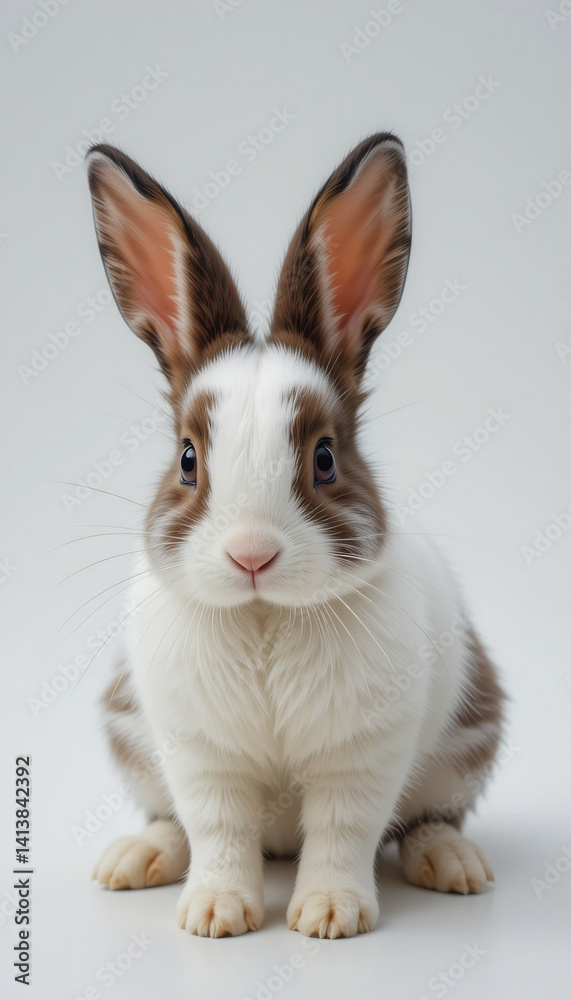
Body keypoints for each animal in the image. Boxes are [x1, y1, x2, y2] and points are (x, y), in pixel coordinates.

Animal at [86, 134, 505, 939]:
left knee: (428, 819)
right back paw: (132, 861)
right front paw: (215, 915)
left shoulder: (360, 758)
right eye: (188, 459)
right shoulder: (199, 756)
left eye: (325, 459)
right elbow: (216, 830)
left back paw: (453, 866)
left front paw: (330, 916)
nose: (251, 555)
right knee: (172, 824)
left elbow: (345, 832)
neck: (264, 615)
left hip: (463, 748)